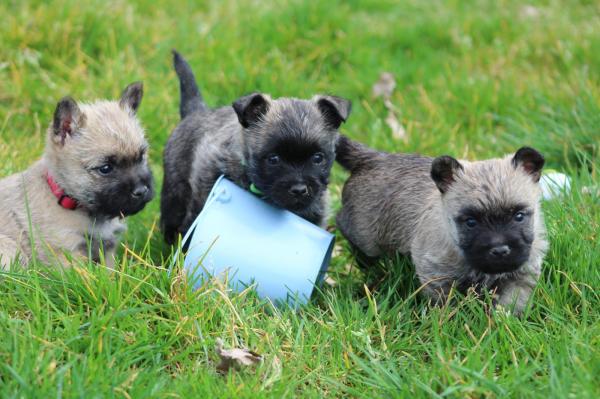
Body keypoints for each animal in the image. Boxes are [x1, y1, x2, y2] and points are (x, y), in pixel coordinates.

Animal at [159, 51, 352, 245]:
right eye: (273, 159)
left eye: (318, 158)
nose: (299, 189)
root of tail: (197, 110)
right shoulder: (205, 184)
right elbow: (194, 220)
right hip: (174, 191)